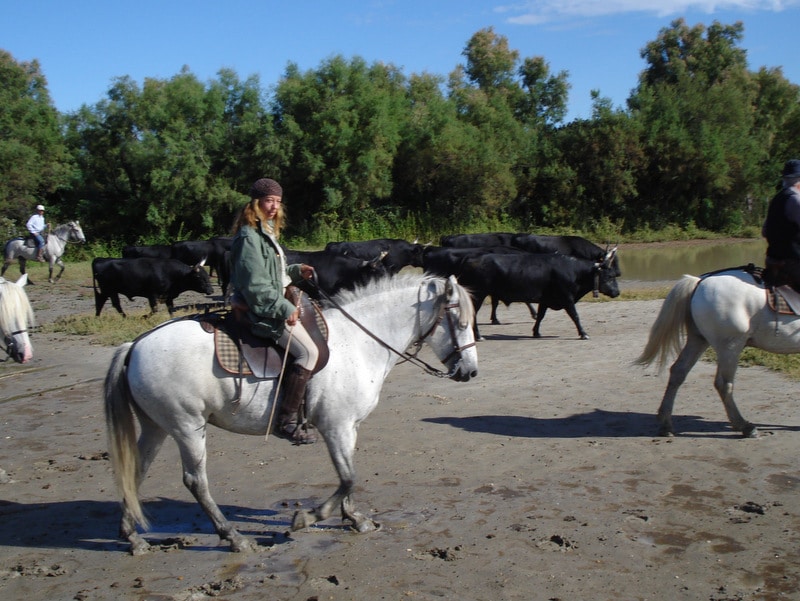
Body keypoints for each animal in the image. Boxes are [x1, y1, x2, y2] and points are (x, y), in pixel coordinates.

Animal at [107, 272, 478, 552]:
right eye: (459, 322)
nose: (471, 372)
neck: (359, 342)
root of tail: (135, 345)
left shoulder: (348, 427)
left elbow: (349, 476)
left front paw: (355, 518)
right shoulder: (336, 426)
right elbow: (348, 477)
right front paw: (308, 518)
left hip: (157, 427)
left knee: (135, 472)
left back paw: (133, 537)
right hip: (187, 427)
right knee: (196, 481)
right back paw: (234, 537)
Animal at [636, 270, 800, 438]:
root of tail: (700, 281)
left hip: (698, 340)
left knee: (678, 372)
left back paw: (666, 424)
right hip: (730, 347)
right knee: (724, 384)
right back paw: (744, 426)